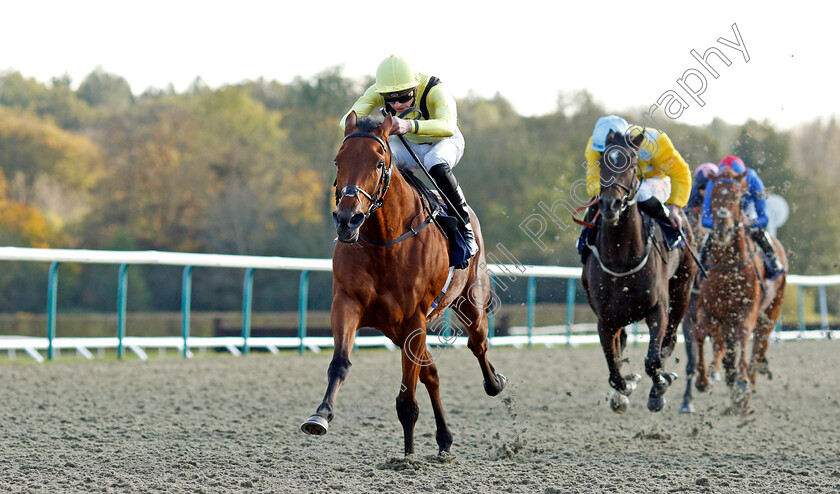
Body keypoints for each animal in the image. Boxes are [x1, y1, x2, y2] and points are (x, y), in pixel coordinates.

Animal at [300, 111, 506, 456]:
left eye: (378, 163)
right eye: (338, 161)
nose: (347, 220)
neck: (385, 242)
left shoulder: (413, 317)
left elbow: (408, 396)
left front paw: (408, 456)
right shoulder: (347, 302)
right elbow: (340, 362)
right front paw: (320, 415)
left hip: (469, 302)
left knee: (477, 343)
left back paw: (494, 383)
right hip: (396, 328)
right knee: (431, 372)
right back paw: (443, 437)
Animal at [584, 130, 696, 412]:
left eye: (633, 164)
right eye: (603, 162)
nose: (610, 205)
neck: (621, 260)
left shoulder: (658, 309)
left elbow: (653, 360)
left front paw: (659, 390)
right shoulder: (605, 319)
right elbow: (614, 370)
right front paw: (625, 389)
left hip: (683, 290)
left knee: (670, 339)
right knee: (622, 345)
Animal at [692, 168, 784, 408]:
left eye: (737, 197)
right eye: (714, 196)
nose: (722, 228)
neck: (728, 268)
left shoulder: (748, 309)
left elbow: (744, 334)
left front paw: (742, 381)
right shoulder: (707, 308)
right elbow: (700, 331)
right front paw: (703, 379)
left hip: (770, 313)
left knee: (758, 349)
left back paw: (746, 386)